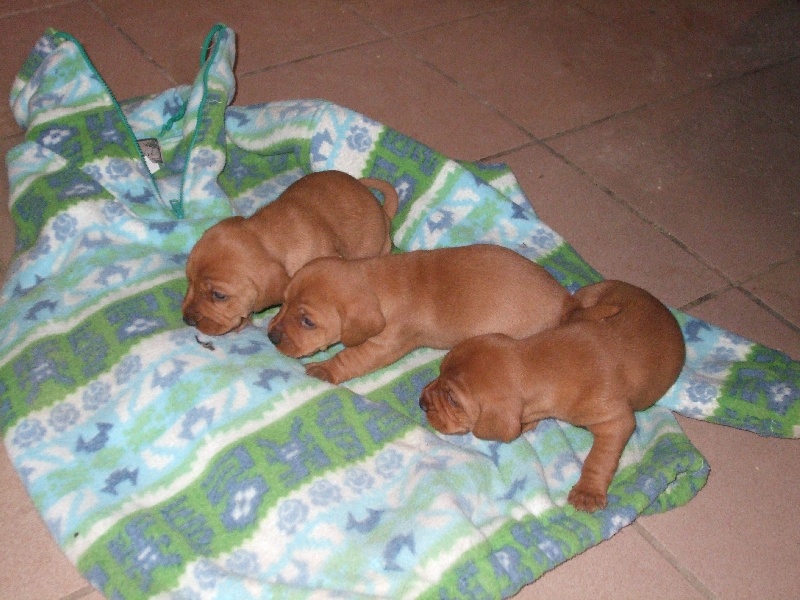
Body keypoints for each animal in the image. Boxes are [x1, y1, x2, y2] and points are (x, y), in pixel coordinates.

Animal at [267, 244, 573, 384]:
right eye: (283, 302)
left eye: (308, 321)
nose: (271, 337)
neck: (375, 283)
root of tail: (565, 301)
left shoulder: (382, 346)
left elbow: (348, 358)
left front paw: (325, 369)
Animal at [419, 279, 685, 513]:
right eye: (440, 371)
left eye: (453, 399)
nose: (421, 403)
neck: (544, 361)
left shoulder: (616, 422)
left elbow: (600, 459)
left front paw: (587, 492)